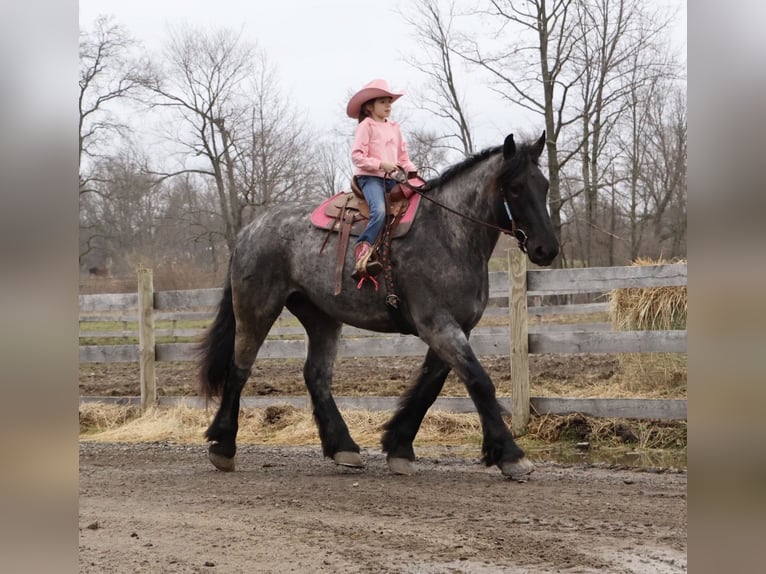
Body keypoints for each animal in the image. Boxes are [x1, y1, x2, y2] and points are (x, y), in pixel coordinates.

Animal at [198, 132, 559, 479]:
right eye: (515, 188)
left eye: (544, 185)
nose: (547, 249)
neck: (447, 233)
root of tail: (249, 231)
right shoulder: (439, 325)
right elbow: (479, 382)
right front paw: (510, 455)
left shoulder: (455, 328)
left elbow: (429, 386)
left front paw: (399, 447)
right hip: (257, 309)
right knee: (239, 368)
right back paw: (224, 446)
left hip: (321, 317)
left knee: (316, 375)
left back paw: (343, 447)